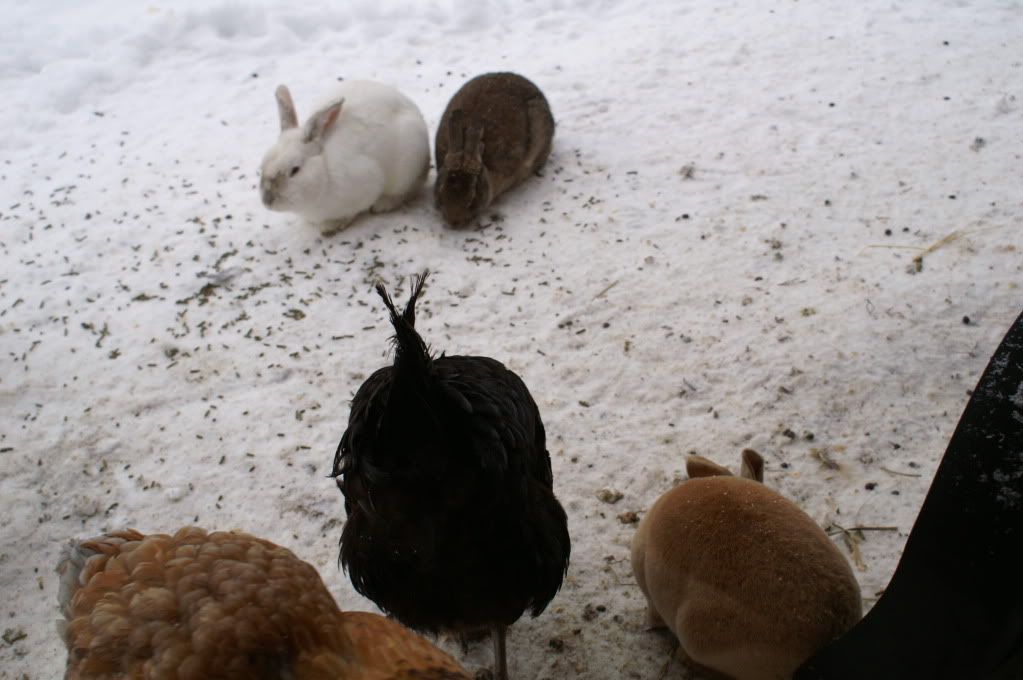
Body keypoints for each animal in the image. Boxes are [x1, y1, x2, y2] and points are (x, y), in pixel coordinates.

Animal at [260, 81, 429, 233]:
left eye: (295, 170)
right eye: (262, 166)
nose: (267, 201)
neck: (324, 170)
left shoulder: (367, 184)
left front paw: (332, 225)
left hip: (407, 170)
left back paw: (384, 204)